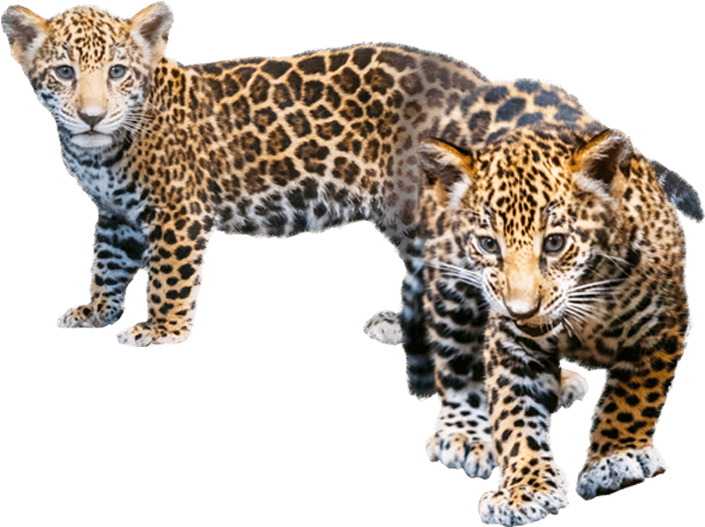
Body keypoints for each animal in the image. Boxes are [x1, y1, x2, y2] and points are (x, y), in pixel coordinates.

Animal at [2, 2, 699, 349]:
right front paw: (96, 312)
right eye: (64, 72)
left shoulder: (177, 213)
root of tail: (483, 83)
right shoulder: (116, 215)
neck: (99, 151)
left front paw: (160, 331)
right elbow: (104, 264)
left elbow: (170, 280)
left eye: (119, 72)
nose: (92, 115)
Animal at [400, 79, 698, 524]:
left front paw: (616, 458)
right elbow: (515, 418)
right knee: (457, 365)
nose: (521, 310)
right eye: (489, 244)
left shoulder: (665, 324)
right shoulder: (511, 345)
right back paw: (465, 432)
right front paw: (526, 489)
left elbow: (633, 396)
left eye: (555, 243)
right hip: (450, 286)